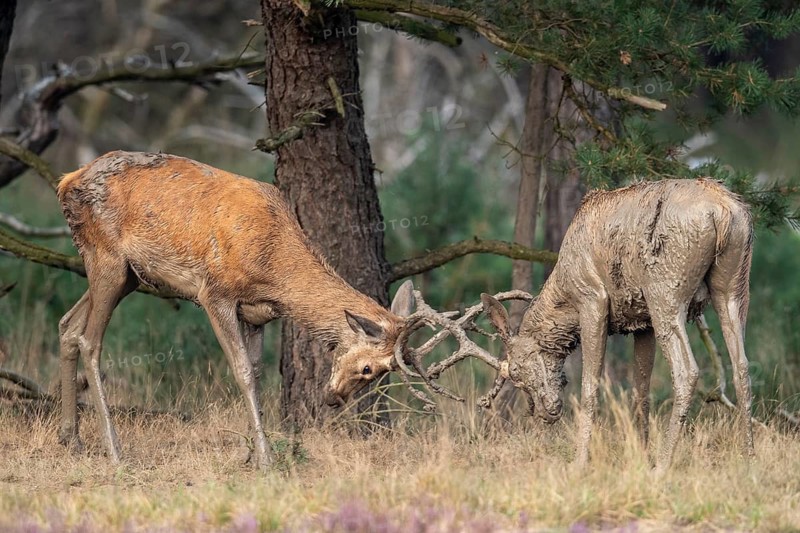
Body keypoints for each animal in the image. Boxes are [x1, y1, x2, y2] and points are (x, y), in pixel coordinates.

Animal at [56, 150, 416, 471]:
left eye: (383, 372)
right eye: (369, 368)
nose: (334, 399)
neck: (273, 273)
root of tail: (66, 181)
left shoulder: (257, 314)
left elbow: (255, 371)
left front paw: (249, 454)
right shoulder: (215, 293)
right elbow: (241, 370)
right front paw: (265, 459)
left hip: (128, 275)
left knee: (68, 325)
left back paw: (71, 439)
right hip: (107, 256)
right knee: (90, 340)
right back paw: (114, 450)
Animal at [475, 178, 754, 471]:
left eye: (515, 372)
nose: (543, 412)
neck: (563, 295)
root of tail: (724, 212)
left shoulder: (592, 300)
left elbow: (590, 387)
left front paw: (580, 462)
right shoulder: (643, 324)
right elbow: (640, 390)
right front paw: (641, 457)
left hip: (664, 291)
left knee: (687, 370)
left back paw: (663, 465)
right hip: (733, 286)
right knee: (742, 366)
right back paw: (748, 458)